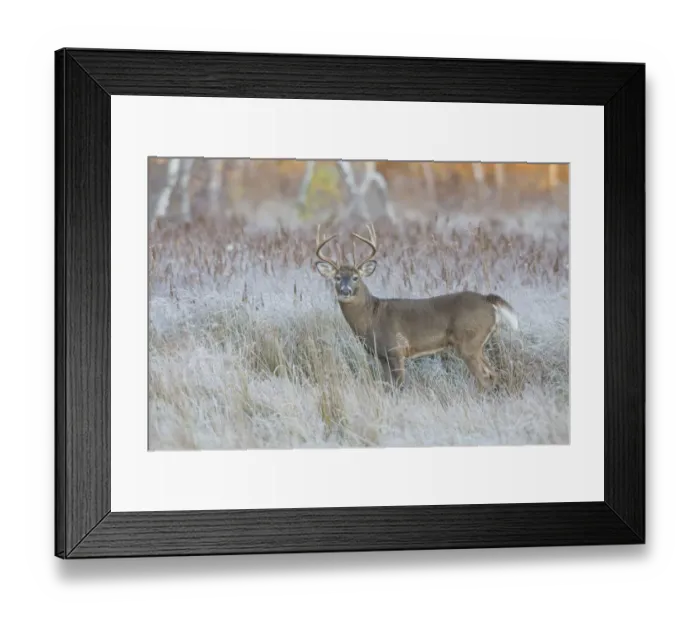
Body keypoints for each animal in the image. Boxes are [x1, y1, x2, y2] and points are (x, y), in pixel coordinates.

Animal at [313, 223, 519, 390]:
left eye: (356, 277)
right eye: (337, 278)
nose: (345, 290)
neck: (372, 316)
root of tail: (487, 299)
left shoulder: (396, 350)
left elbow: (400, 387)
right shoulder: (382, 357)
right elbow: (388, 386)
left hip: (469, 342)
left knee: (485, 378)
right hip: (477, 345)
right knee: (494, 374)